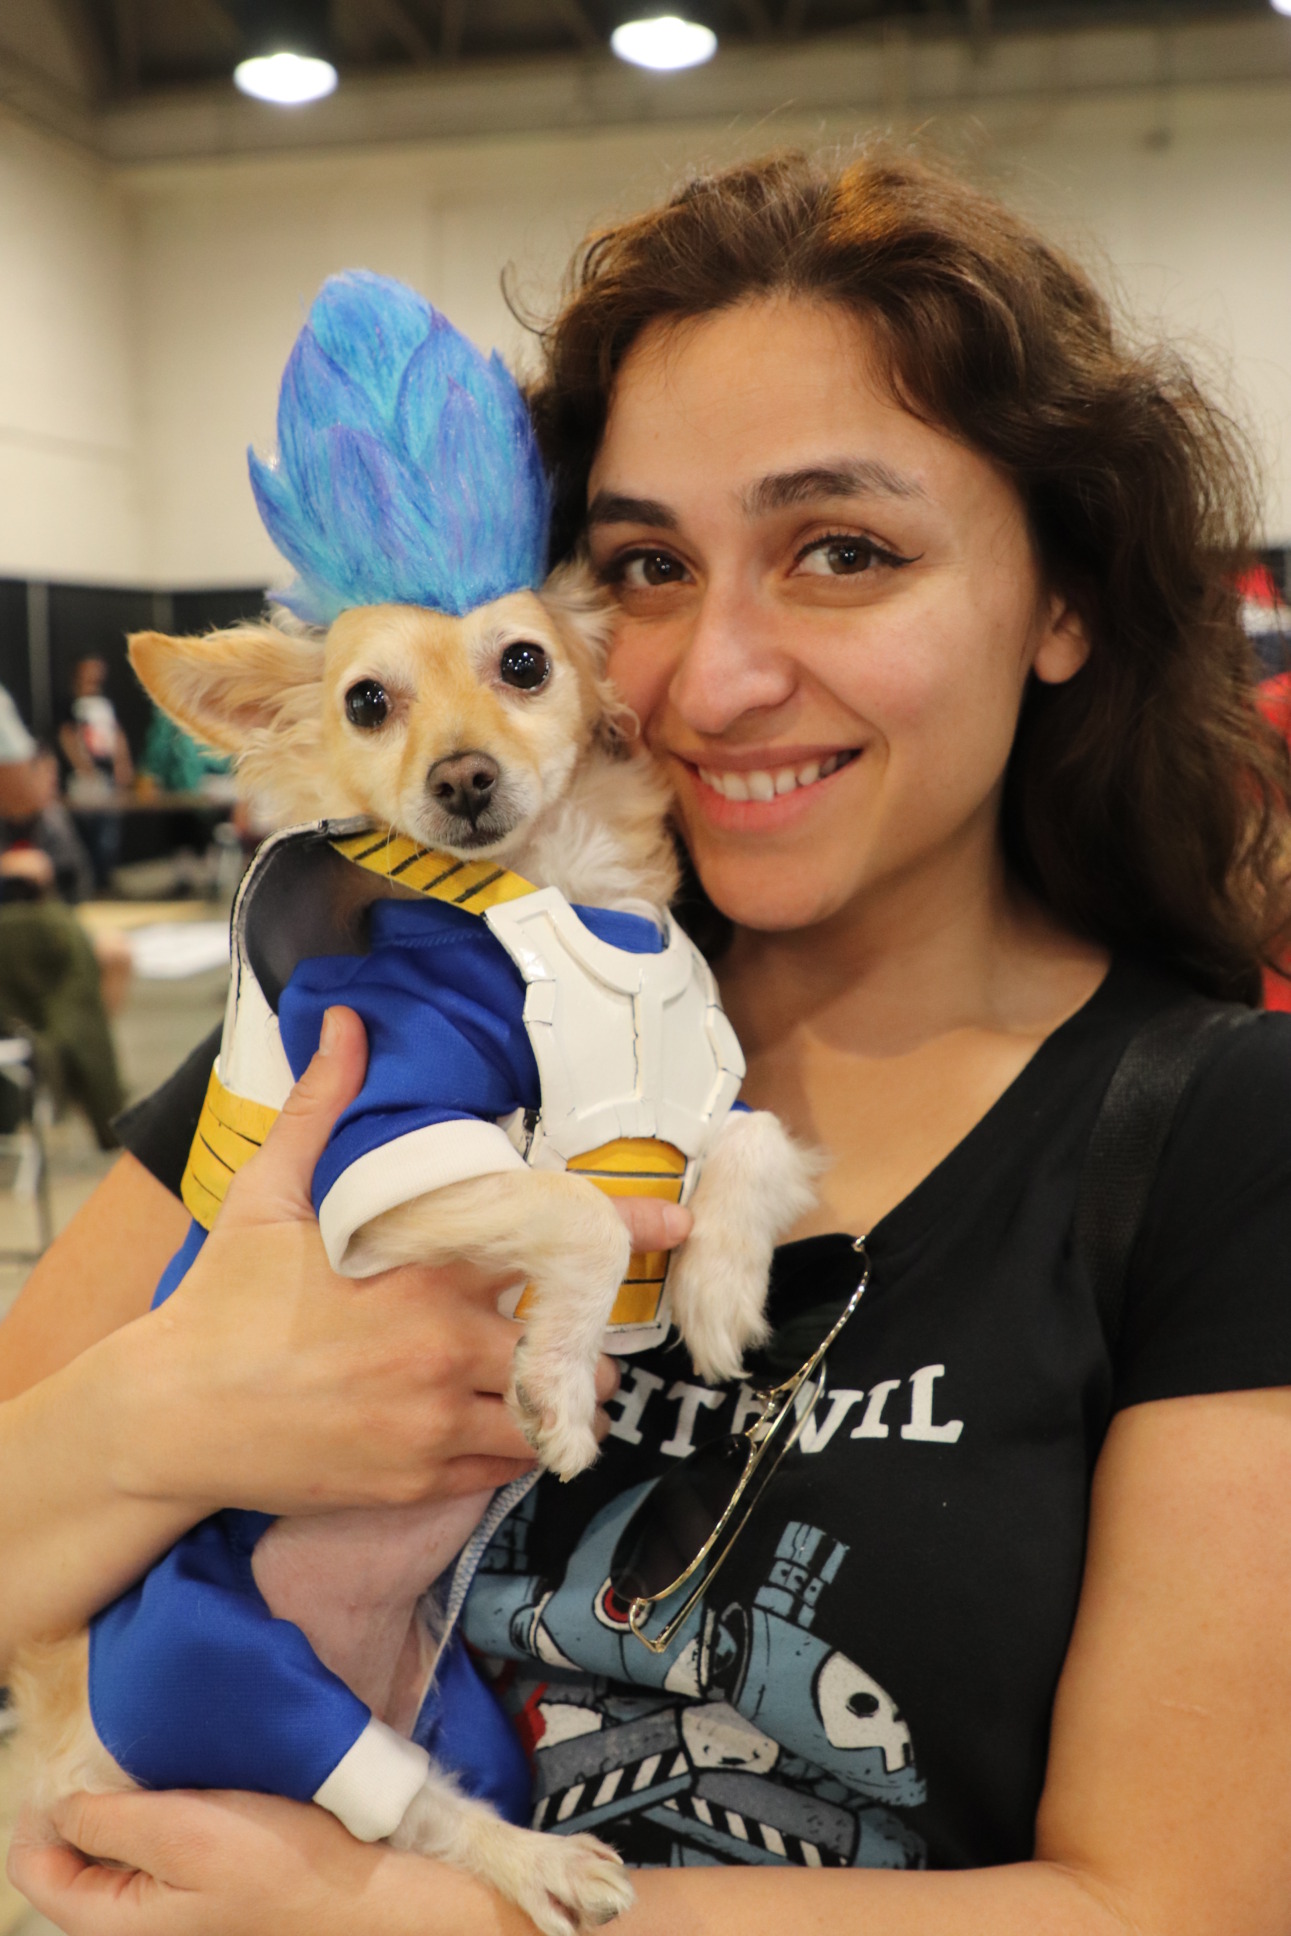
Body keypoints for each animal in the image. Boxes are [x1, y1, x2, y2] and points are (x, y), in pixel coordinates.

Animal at [12, 561, 816, 1936]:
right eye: (366, 702)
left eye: (525, 664)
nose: (463, 777)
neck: (560, 887)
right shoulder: (389, 1149)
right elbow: (577, 1210)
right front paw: (557, 1387)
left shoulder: (718, 1093)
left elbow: (752, 1141)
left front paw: (717, 1294)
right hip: (195, 1657)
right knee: (396, 1802)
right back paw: (543, 1863)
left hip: (461, 1709)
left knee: (433, 1790)